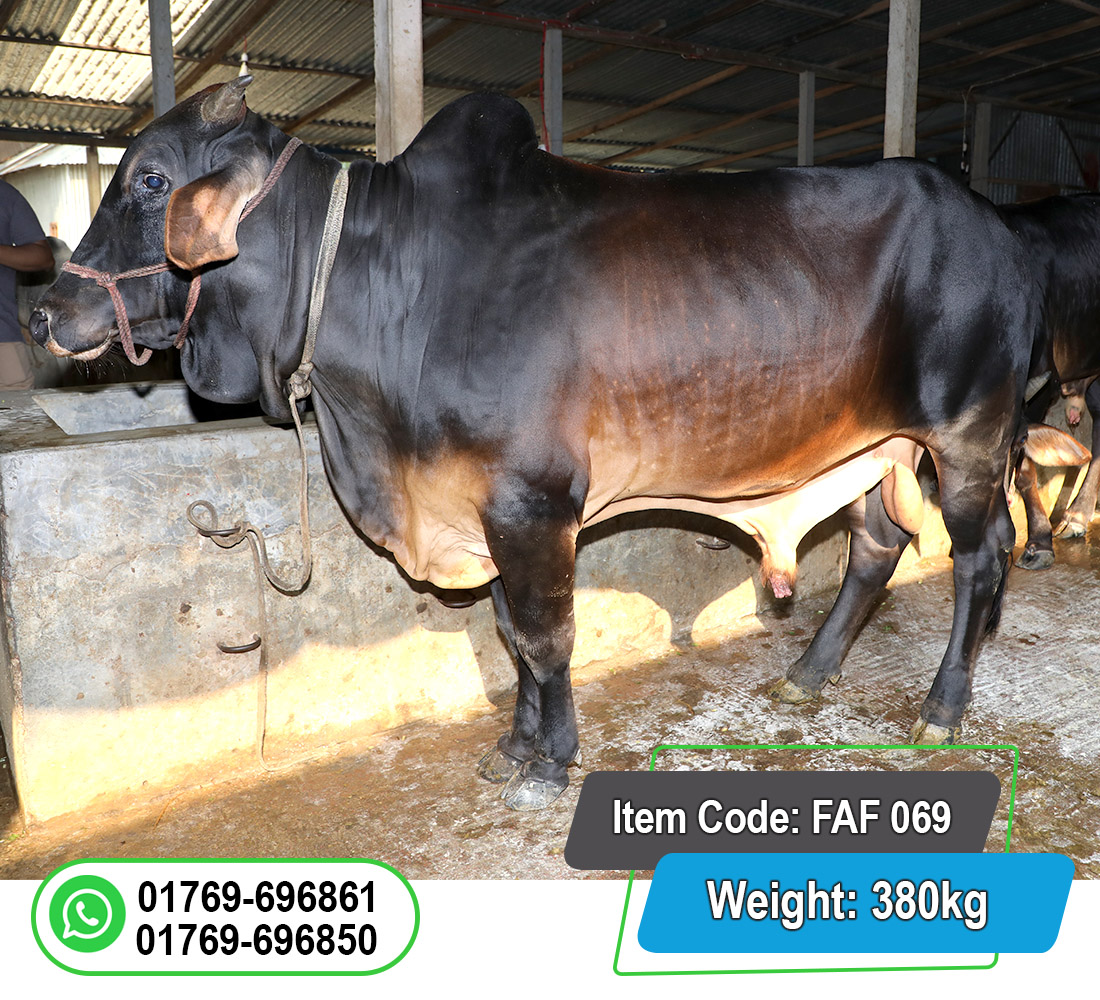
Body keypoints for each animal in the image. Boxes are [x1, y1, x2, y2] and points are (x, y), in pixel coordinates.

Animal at [30, 79, 1055, 810]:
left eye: (152, 180)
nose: (44, 310)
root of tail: (1000, 225)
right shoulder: (485, 511)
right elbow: (510, 636)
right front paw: (513, 747)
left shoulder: (531, 502)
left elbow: (543, 634)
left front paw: (549, 762)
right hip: (877, 447)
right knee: (879, 547)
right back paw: (806, 674)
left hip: (967, 433)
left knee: (980, 558)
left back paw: (941, 709)